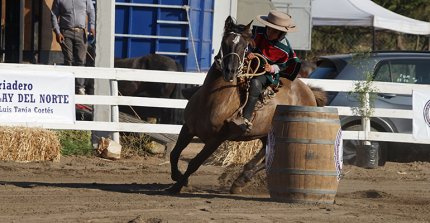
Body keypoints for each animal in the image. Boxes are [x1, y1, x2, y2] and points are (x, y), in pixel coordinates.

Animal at [167, 15, 326, 194]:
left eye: (245, 46)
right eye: (225, 42)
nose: (230, 71)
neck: (211, 100)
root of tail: (309, 92)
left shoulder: (216, 139)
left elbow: (195, 163)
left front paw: (178, 186)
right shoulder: (187, 128)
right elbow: (174, 154)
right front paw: (177, 178)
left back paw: (241, 180)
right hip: (265, 134)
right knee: (266, 155)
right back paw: (242, 178)